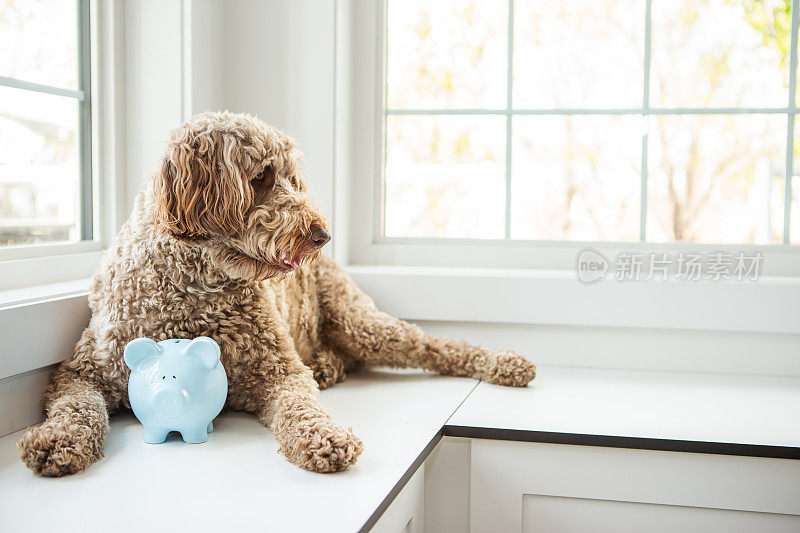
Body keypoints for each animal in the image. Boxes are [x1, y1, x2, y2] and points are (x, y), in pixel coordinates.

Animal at [17, 111, 536, 474]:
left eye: (292, 177)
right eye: (262, 177)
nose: (322, 235)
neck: (194, 291)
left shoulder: (281, 372)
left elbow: (301, 407)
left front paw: (324, 438)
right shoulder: (81, 371)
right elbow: (75, 407)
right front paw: (54, 441)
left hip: (362, 324)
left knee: (437, 345)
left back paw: (504, 362)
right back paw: (328, 366)